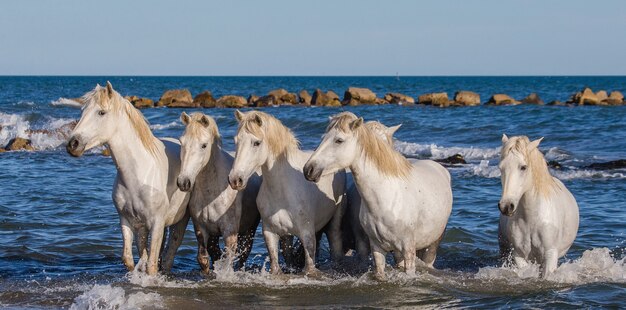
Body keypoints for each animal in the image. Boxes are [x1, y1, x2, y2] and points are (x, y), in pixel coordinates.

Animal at [65, 81, 190, 274]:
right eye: (82, 111)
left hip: (180, 220)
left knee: (170, 252)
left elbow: (151, 265)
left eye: (101, 112)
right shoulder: (127, 221)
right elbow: (130, 260)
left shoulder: (157, 223)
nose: (73, 144)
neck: (138, 175)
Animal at [177, 111, 260, 272]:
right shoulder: (201, 228)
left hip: (249, 229)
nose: (183, 182)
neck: (213, 193)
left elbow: (228, 261)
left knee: (243, 256)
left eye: (204, 145)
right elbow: (204, 259)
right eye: (181, 142)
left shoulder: (229, 231)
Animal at [227, 110, 344, 274]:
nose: (235, 180)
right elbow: (275, 267)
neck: (283, 192)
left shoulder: (307, 234)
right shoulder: (270, 234)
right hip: (287, 236)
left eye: (257, 143)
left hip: (334, 225)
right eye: (236, 141)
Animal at [302, 112, 448, 280]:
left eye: (339, 140)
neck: (387, 199)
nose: (309, 169)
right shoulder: (375, 247)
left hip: (432, 244)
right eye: (323, 138)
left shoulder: (408, 248)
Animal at [494, 134, 576, 278]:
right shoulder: (518, 254)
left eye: (523, 167)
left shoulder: (550, 254)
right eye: (501, 168)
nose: (506, 206)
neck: (532, 218)